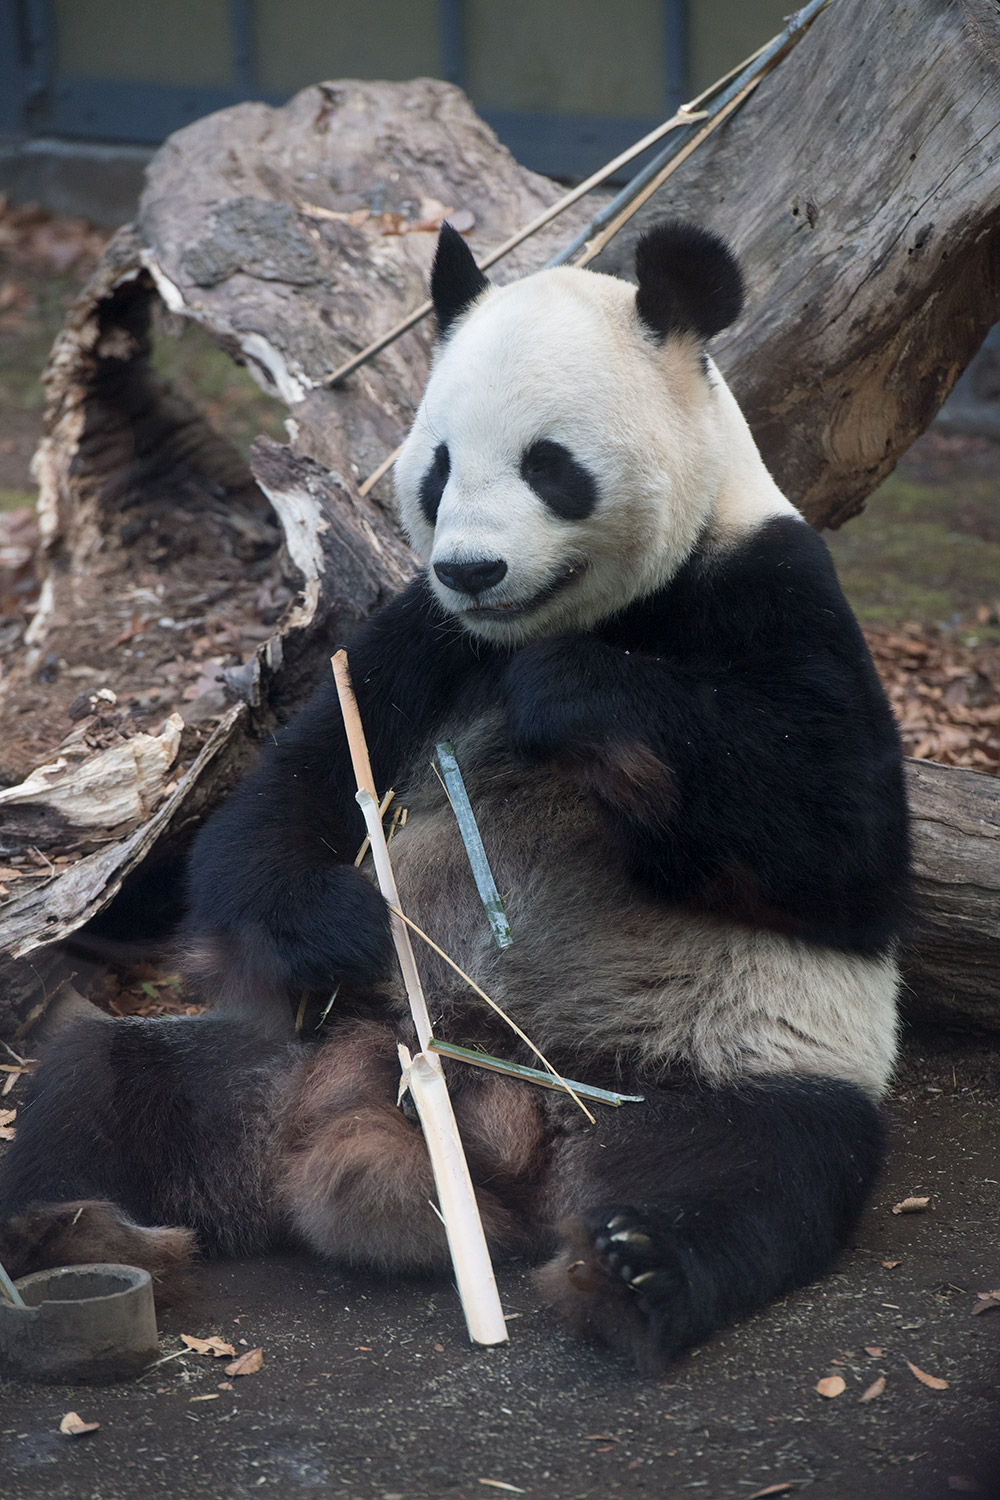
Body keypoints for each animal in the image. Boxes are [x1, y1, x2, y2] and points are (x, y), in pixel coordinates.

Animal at [0, 219, 905, 1374]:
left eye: (550, 467)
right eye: (434, 469)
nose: (473, 569)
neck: (580, 616)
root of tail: (490, 1117)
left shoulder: (773, 587)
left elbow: (843, 847)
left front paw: (577, 698)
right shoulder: (417, 637)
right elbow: (279, 801)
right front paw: (348, 917)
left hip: (712, 1065)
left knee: (757, 1171)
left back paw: (633, 1271)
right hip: (288, 1050)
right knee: (100, 1084)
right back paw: (74, 1229)